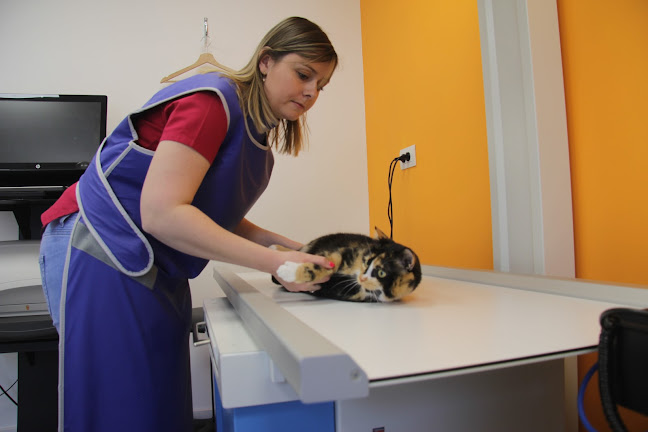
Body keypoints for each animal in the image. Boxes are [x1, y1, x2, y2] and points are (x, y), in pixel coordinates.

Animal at [270, 228, 422, 302]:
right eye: (366, 262)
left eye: (381, 273)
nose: (362, 278)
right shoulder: (345, 251)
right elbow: (330, 261)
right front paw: (289, 270)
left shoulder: (349, 292)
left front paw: (287, 271)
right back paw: (275, 247)